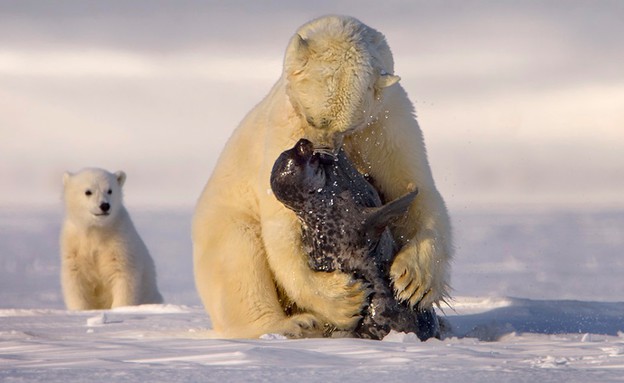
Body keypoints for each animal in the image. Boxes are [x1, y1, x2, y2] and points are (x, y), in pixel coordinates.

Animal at [193, 15, 450, 340]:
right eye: (313, 119)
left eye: (347, 125)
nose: (321, 152)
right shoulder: (283, 128)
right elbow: (283, 231)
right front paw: (344, 299)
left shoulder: (387, 123)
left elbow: (417, 189)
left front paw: (414, 281)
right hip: (222, 221)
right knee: (239, 261)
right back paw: (295, 324)